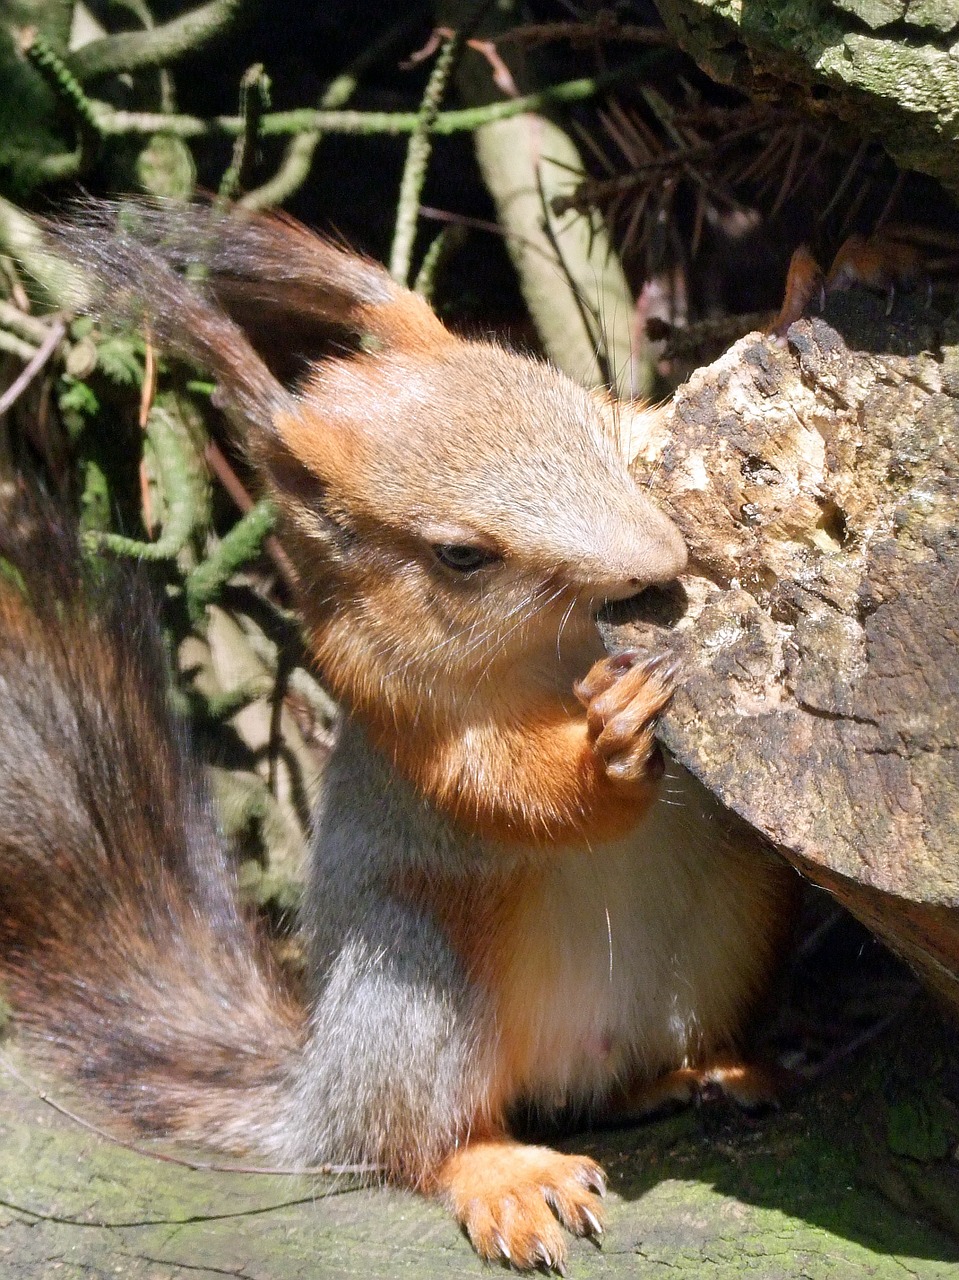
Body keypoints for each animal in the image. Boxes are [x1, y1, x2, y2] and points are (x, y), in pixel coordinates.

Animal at [0, 202, 793, 1269]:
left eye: (586, 413)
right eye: (460, 557)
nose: (658, 560)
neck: (557, 647)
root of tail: (319, 1096)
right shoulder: (404, 705)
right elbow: (508, 787)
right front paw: (608, 742)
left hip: (729, 929)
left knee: (615, 1086)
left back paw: (699, 1075)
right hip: (419, 981)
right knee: (419, 1144)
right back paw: (505, 1176)